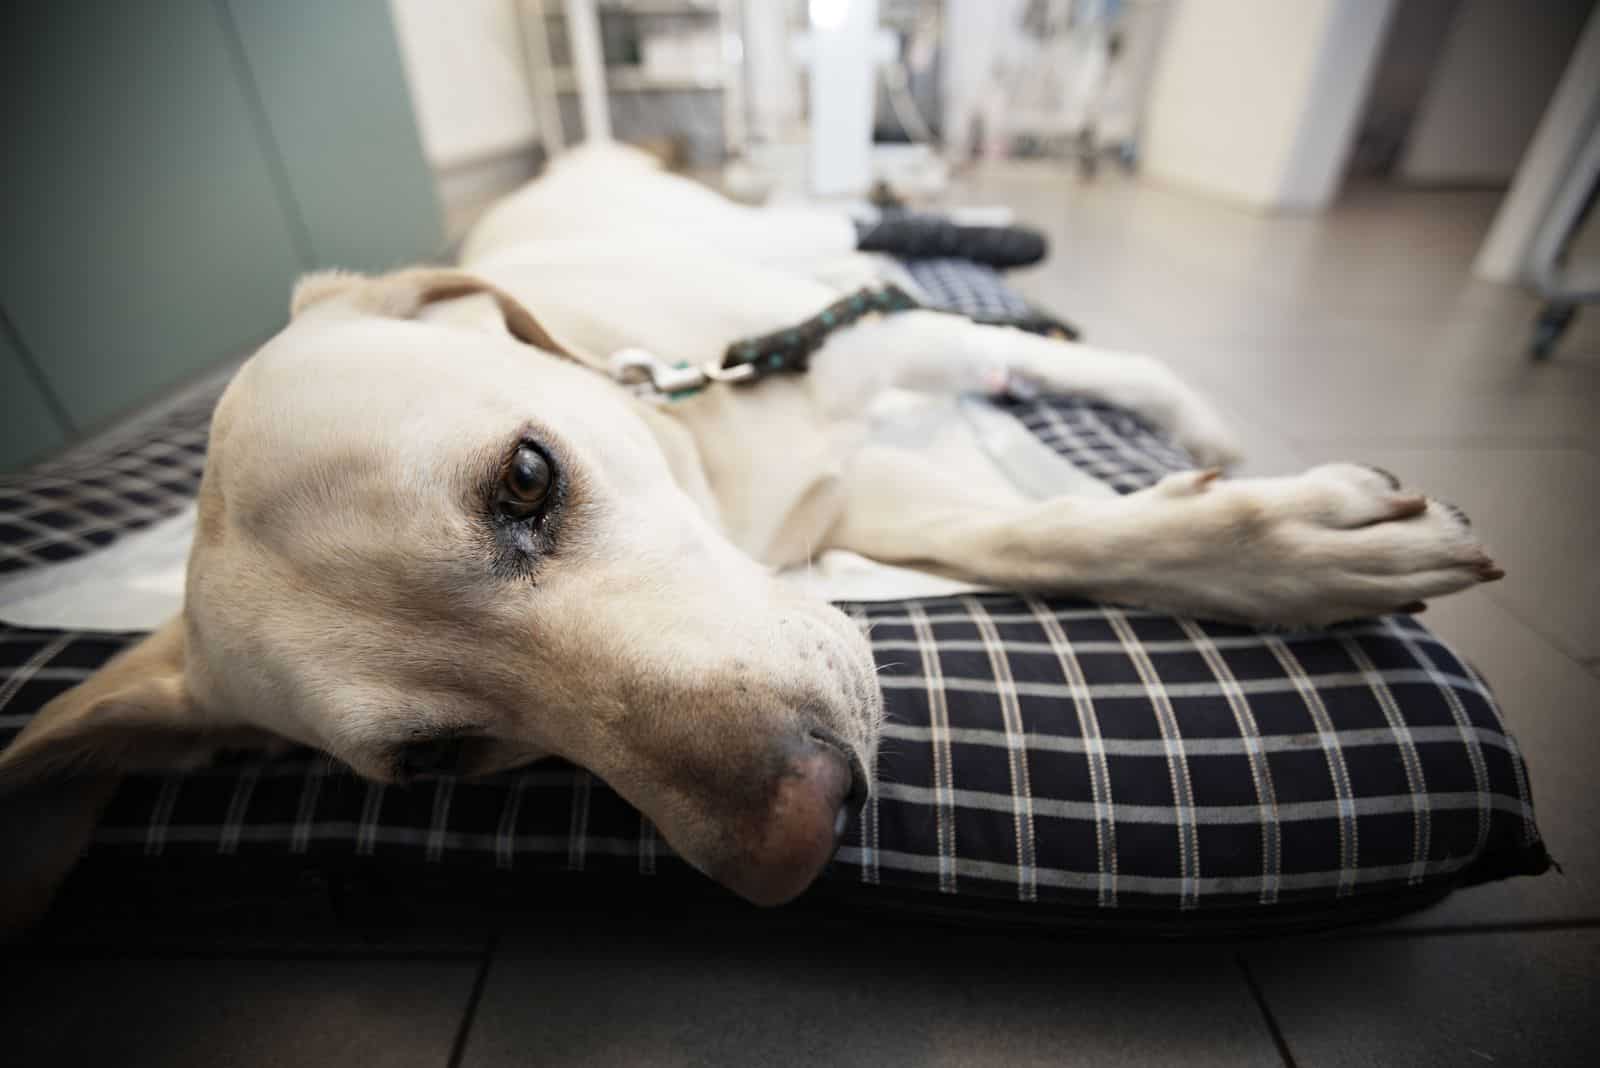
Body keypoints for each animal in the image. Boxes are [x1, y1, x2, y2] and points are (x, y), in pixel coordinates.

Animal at [0, 146, 1497, 927]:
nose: (796, 837)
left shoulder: (876, 350)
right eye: (436, 763)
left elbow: (1099, 386)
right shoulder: (854, 492)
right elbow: (1056, 537)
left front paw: (1231, 464)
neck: (700, 438)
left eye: (526, 480)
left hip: (803, 248)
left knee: (875, 232)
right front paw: (1277, 546)